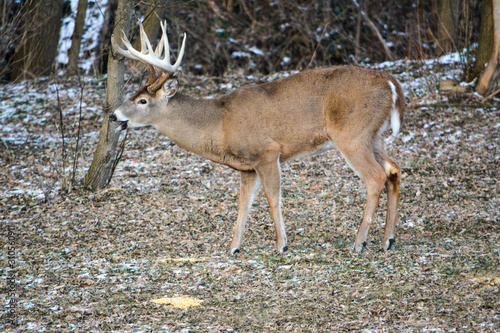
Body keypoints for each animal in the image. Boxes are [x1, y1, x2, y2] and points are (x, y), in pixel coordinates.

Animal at [110, 20, 406, 252]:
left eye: (143, 101)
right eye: (134, 95)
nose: (113, 115)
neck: (220, 124)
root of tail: (392, 84)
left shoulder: (267, 153)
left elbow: (273, 198)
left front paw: (281, 245)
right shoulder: (247, 167)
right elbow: (243, 204)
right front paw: (233, 247)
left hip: (352, 134)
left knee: (375, 177)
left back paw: (360, 242)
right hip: (375, 135)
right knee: (393, 169)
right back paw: (387, 240)